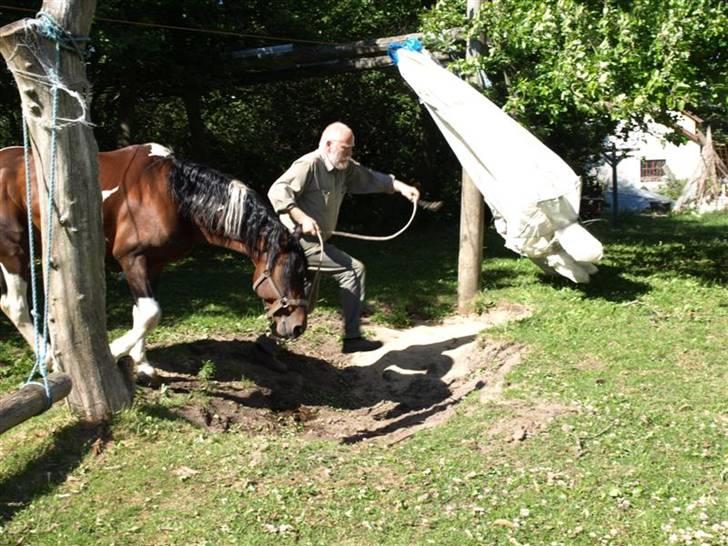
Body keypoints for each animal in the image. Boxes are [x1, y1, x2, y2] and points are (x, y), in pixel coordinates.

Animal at [0, 142, 308, 376]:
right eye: (292, 272)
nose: (298, 326)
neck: (170, 195)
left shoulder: (154, 263)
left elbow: (141, 313)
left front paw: (142, 365)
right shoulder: (131, 258)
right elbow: (151, 312)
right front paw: (114, 351)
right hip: (13, 249)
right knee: (14, 304)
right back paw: (48, 358)